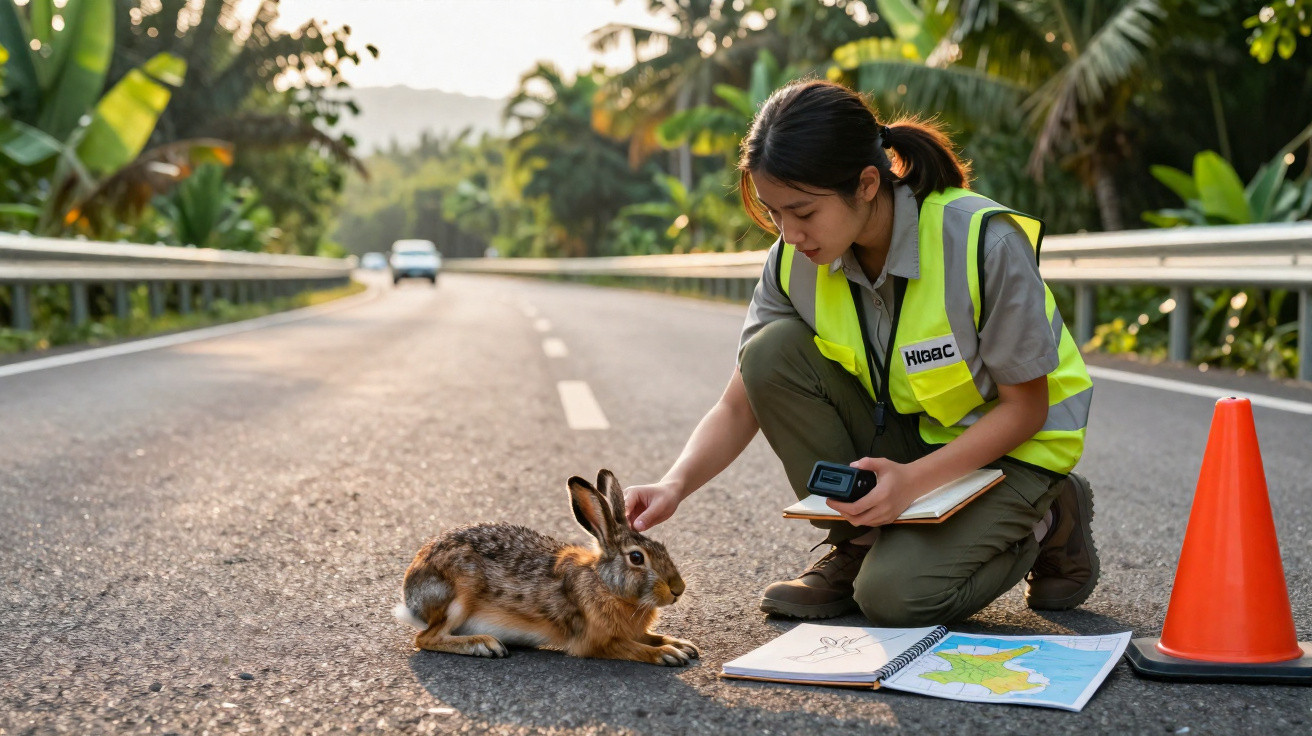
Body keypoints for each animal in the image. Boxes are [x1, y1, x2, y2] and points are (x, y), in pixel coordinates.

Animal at [393, 469, 699, 666]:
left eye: (661, 547)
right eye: (636, 558)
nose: (678, 589)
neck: (604, 585)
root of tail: (412, 601)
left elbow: (650, 636)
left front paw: (681, 645)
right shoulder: (596, 641)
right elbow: (633, 647)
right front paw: (668, 654)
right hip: (460, 590)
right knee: (426, 638)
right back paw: (483, 644)